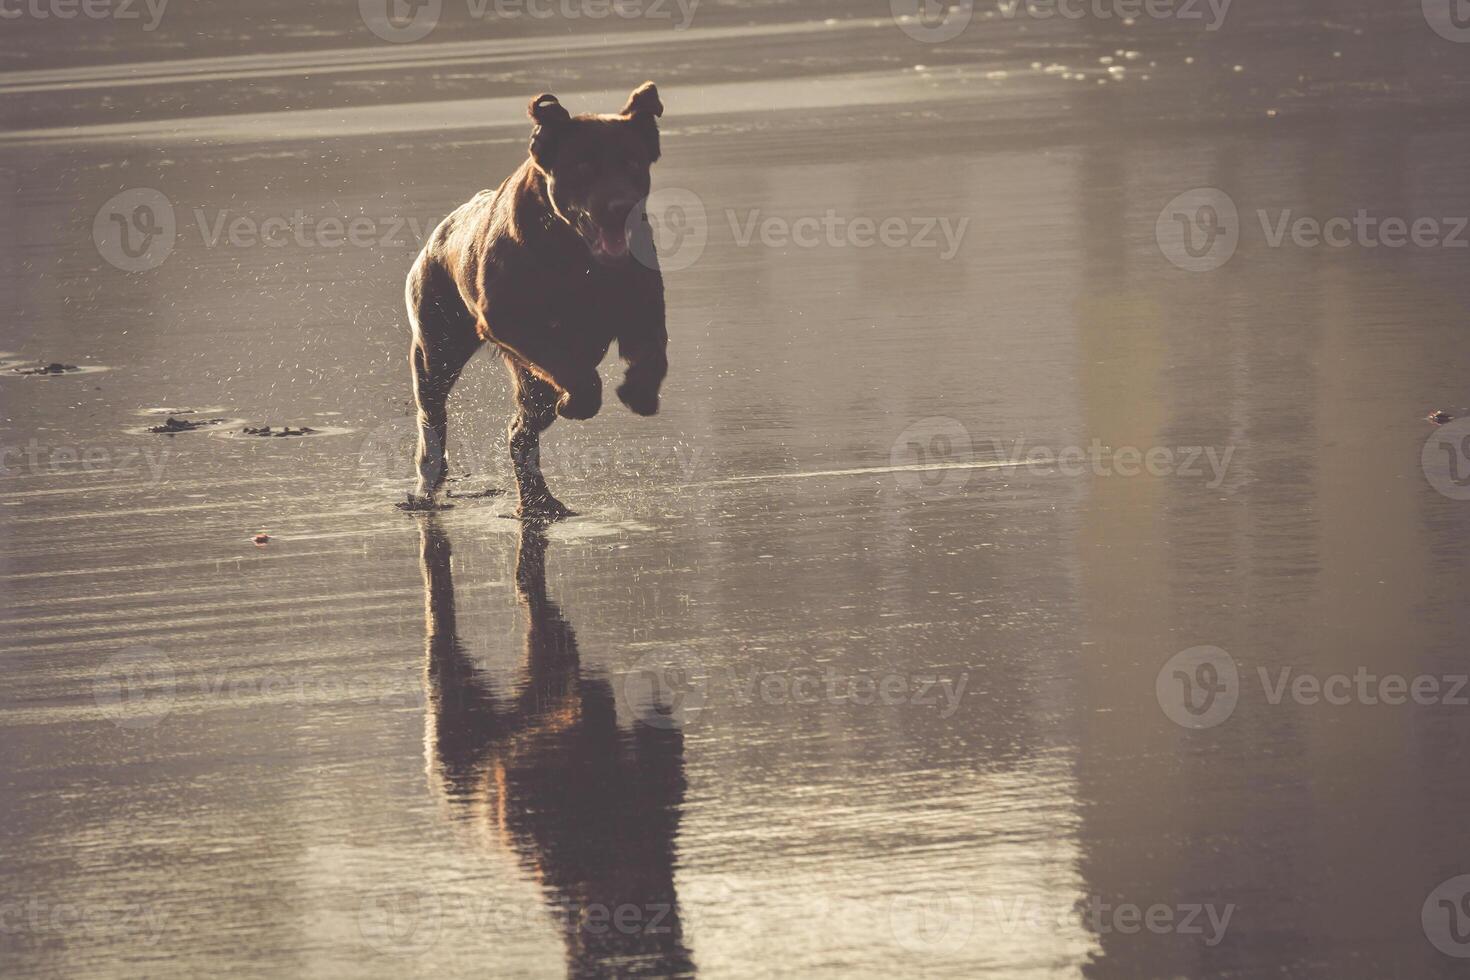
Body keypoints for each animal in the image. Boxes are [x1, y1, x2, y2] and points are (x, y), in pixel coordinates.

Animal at [408, 82, 673, 520]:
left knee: (521, 432)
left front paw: (639, 391)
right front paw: (578, 402)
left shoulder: (643, 305)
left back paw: (542, 502)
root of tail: (440, 232)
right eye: (583, 166)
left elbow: (652, 352)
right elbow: (574, 372)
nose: (620, 207)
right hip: (437, 343)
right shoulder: (508, 319)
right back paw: (429, 482)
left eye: (633, 162)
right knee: (434, 415)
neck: (577, 258)